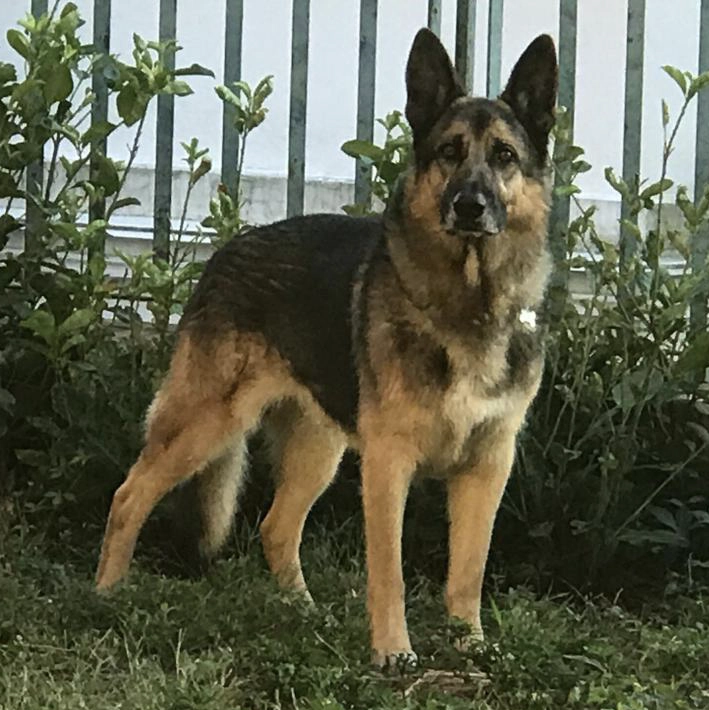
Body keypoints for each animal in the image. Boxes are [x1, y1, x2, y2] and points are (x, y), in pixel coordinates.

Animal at [96, 28, 558, 669]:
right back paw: (104, 596)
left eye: (505, 157)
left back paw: (301, 611)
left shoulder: (488, 464)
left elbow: (469, 569)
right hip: (205, 423)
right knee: (128, 495)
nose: (469, 206)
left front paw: (471, 646)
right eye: (449, 151)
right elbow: (387, 571)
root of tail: (225, 250)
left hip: (319, 448)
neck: (467, 304)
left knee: (275, 527)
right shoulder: (388, 464)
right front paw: (393, 653)